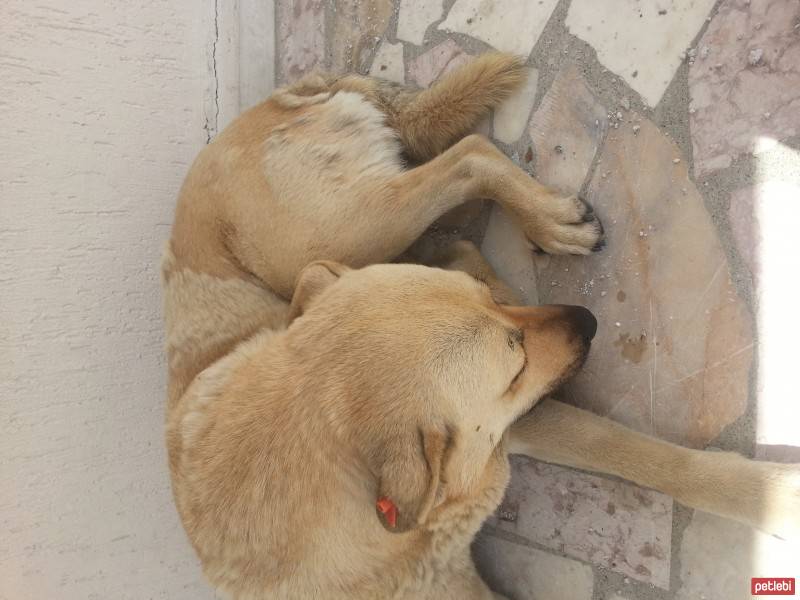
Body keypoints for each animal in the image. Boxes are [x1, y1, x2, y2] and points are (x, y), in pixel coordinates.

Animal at [162, 54, 800, 596]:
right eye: (513, 365)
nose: (589, 320)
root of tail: (280, 96)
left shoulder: (509, 427)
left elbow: (653, 458)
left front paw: (775, 498)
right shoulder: (500, 430)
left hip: (337, 233)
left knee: (469, 158)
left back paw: (548, 222)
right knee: (459, 231)